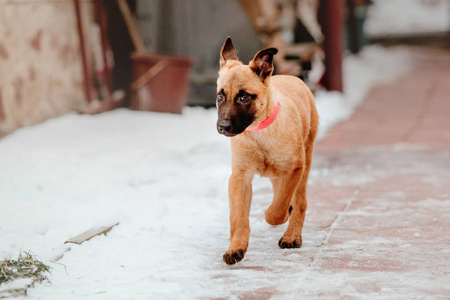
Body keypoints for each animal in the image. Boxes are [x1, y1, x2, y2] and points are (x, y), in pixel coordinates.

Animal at [215, 37, 318, 264]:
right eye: (220, 96)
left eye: (244, 97)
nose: (223, 127)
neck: (259, 132)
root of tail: (292, 77)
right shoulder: (240, 177)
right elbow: (239, 218)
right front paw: (236, 248)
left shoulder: (294, 168)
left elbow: (278, 208)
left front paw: (277, 215)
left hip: (305, 161)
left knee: (300, 201)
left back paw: (292, 235)